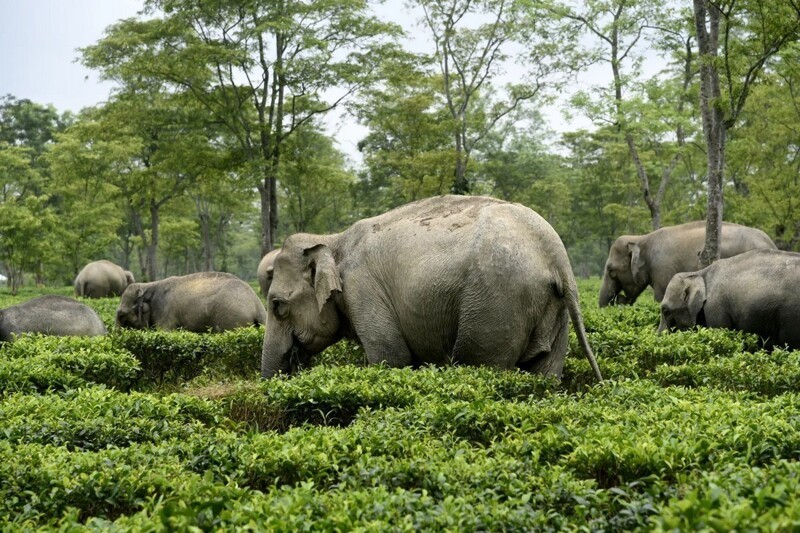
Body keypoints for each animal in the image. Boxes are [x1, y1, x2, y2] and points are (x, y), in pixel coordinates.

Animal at [260, 193, 600, 380]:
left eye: (277, 305)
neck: (332, 239)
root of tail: (556, 254)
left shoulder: (362, 290)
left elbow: (391, 356)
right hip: (552, 311)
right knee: (545, 371)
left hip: (497, 301)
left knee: (479, 362)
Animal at [600, 219, 776, 306]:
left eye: (611, 271)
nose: (619, 299)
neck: (642, 237)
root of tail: (772, 243)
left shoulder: (662, 268)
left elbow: (660, 297)